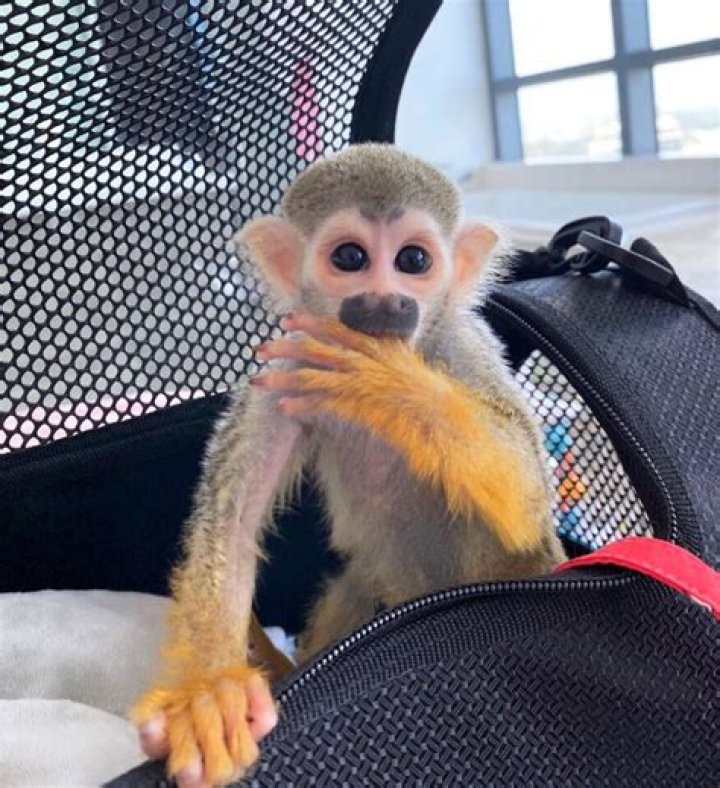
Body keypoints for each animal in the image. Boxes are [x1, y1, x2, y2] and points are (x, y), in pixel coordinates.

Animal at [131, 143, 565, 788]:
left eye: (413, 260)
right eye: (351, 258)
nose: (385, 300)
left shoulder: (461, 345)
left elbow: (526, 506)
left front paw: (386, 383)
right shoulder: (286, 366)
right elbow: (230, 526)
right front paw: (208, 693)